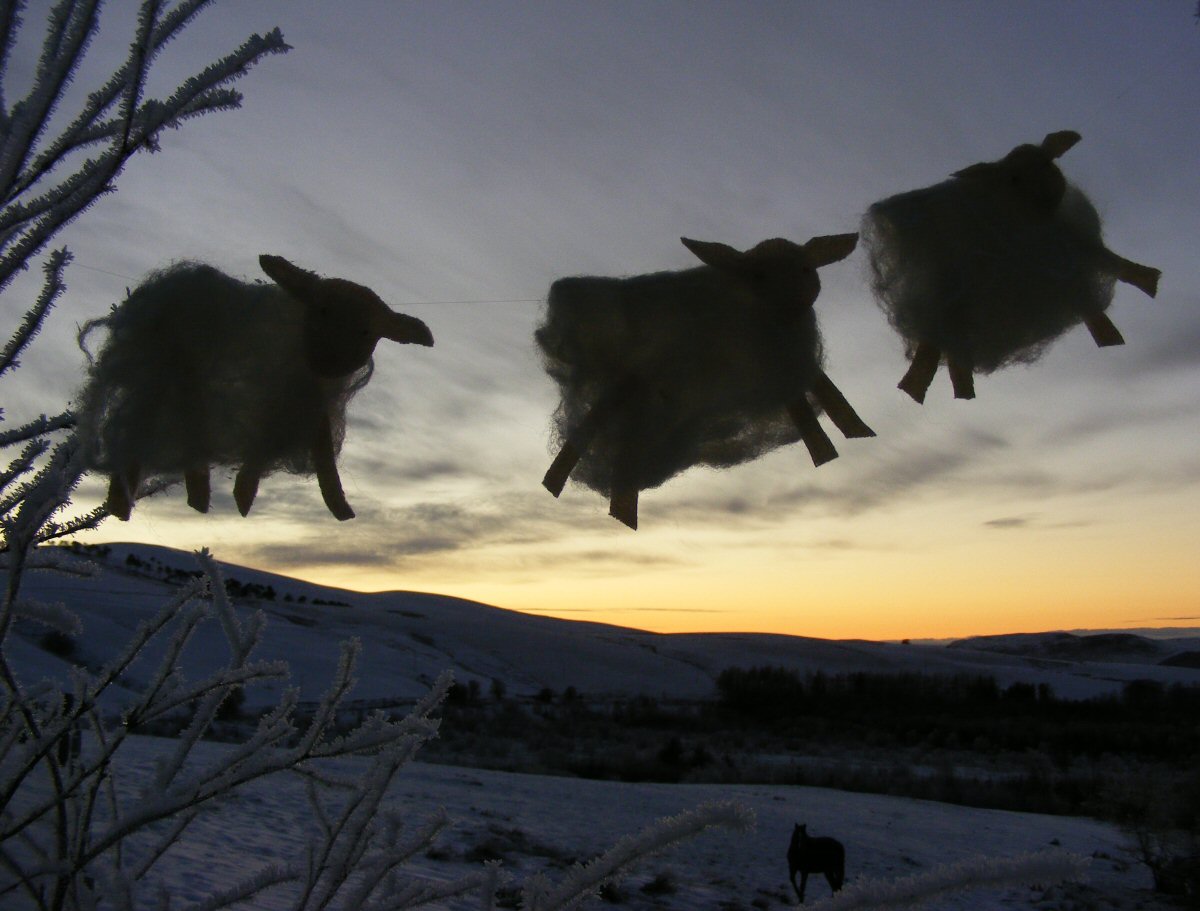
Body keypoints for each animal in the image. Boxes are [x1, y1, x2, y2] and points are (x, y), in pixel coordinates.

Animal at [73, 254, 432, 520]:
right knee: (138, 434)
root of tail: (162, 285)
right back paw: (128, 504)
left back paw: (192, 499)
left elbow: (324, 464)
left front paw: (340, 509)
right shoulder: (275, 410)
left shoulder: (307, 411)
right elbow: (264, 462)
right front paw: (244, 497)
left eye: (367, 332)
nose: (330, 360)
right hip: (158, 374)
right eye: (321, 310)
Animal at [535, 235, 873, 530]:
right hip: (629, 389)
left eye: (806, 268)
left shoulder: (792, 370)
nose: (796, 294)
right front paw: (827, 449)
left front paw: (851, 432)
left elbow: (824, 397)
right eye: (759, 275)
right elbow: (810, 412)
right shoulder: (783, 372)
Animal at [864, 130, 1161, 400]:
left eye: (1048, 168)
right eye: (1014, 177)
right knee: (937, 346)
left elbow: (1114, 264)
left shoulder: (1074, 243)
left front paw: (1148, 281)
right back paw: (918, 387)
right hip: (947, 299)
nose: (1049, 194)